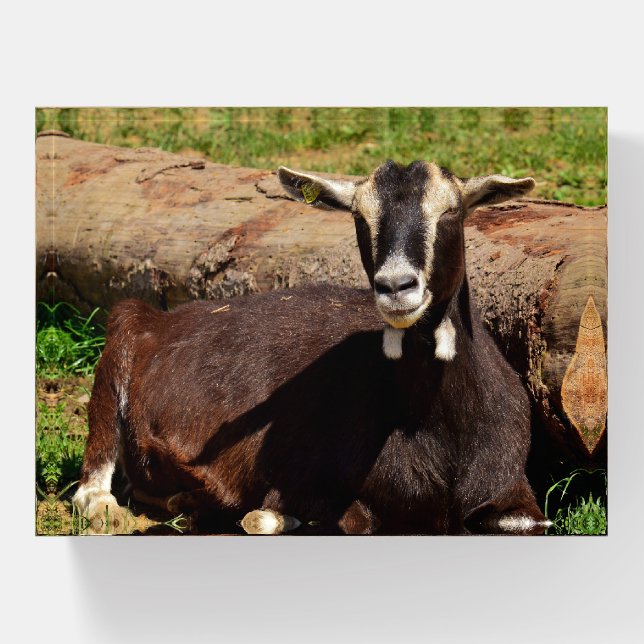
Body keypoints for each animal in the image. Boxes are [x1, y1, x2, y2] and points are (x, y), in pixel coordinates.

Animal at [73, 160, 547, 535]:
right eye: (359, 217)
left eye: (451, 211)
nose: (396, 286)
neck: (440, 431)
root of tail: (160, 320)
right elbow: (284, 518)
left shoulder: (512, 492)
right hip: (119, 343)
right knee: (90, 488)